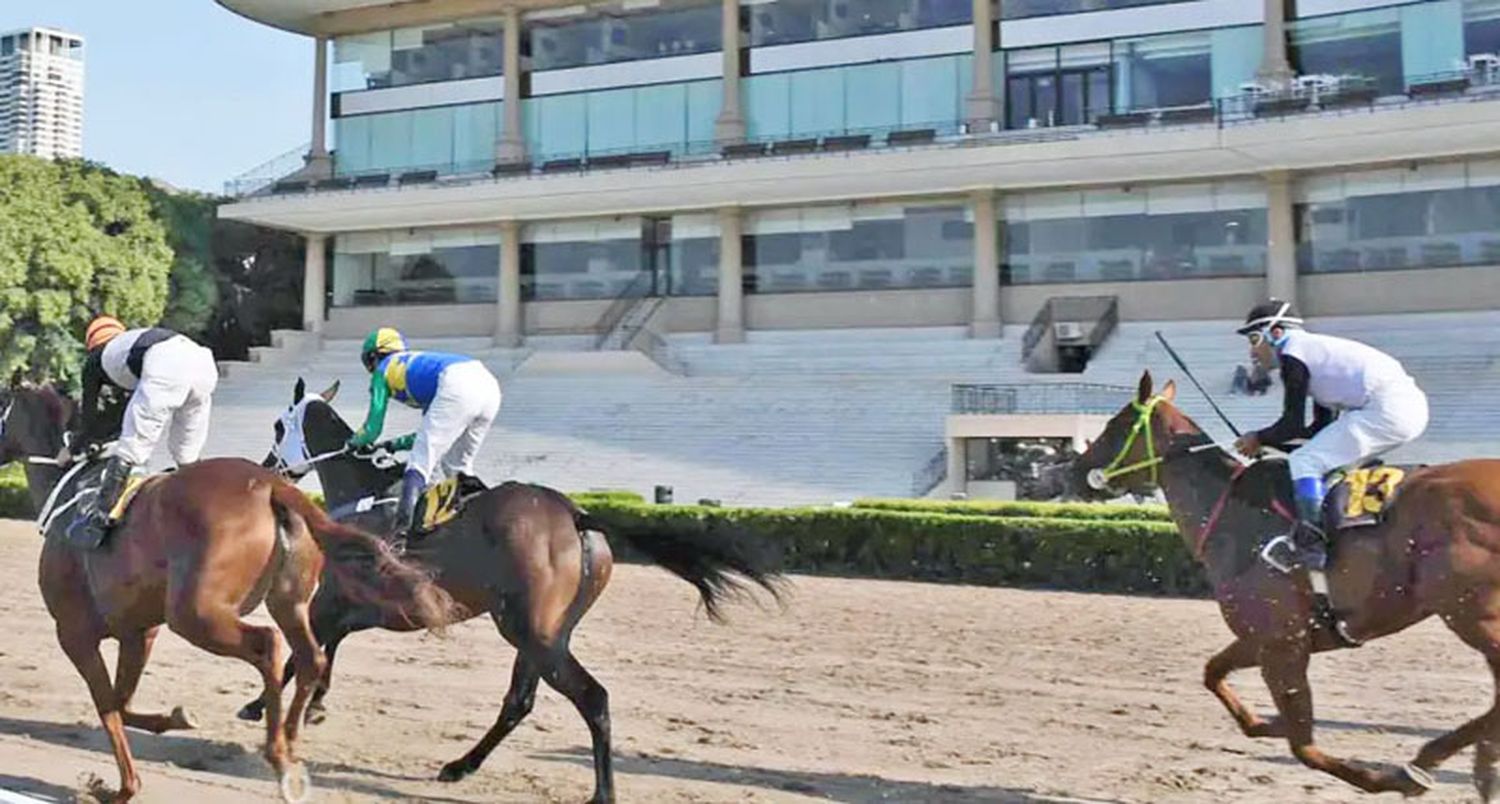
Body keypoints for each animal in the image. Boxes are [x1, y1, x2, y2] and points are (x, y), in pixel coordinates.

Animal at [1, 387, 456, 798]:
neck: (67, 492)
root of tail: (271, 485)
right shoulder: (138, 631)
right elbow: (123, 701)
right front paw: (176, 719)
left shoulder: (74, 634)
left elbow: (109, 708)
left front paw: (121, 788)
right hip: (289, 601)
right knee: (311, 656)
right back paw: (290, 740)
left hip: (196, 614)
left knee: (267, 645)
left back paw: (276, 751)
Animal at [1068, 373, 1500, 798]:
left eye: (1115, 426)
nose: (1073, 470)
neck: (1234, 515)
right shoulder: (1265, 637)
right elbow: (1213, 673)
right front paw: (1267, 723)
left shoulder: (1281, 644)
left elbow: (1303, 746)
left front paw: (1379, 777)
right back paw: (1477, 767)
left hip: (1473, 615)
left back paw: (1430, 764)